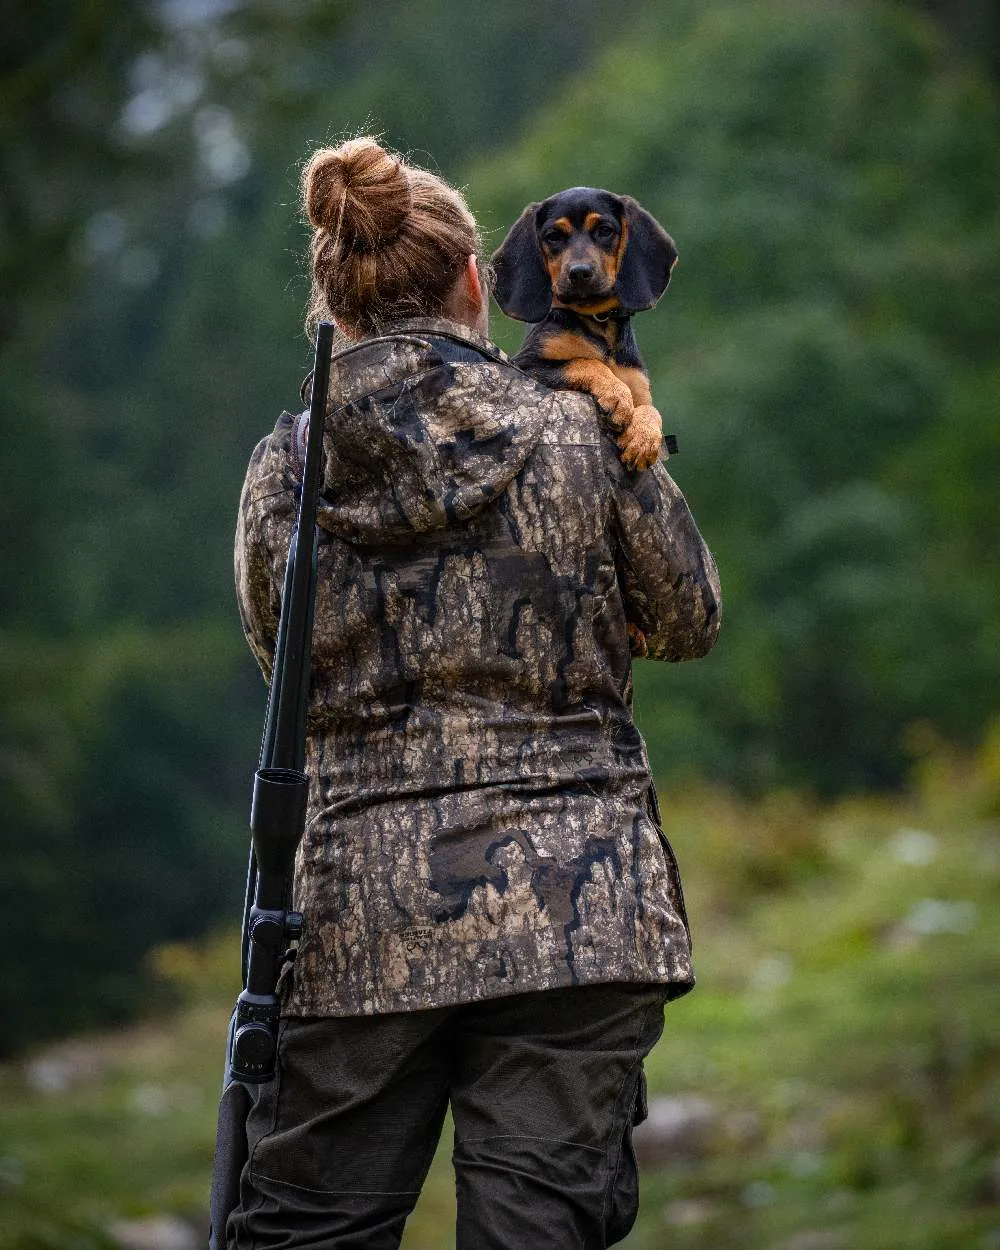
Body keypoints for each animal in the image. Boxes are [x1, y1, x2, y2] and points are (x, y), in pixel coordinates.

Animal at [492, 187, 680, 470]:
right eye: (554, 236)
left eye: (604, 230)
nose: (579, 272)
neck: (597, 320)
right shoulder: (526, 366)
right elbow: (584, 361)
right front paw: (616, 395)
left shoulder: (638, 386)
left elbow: (651, 410)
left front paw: (644, 437)